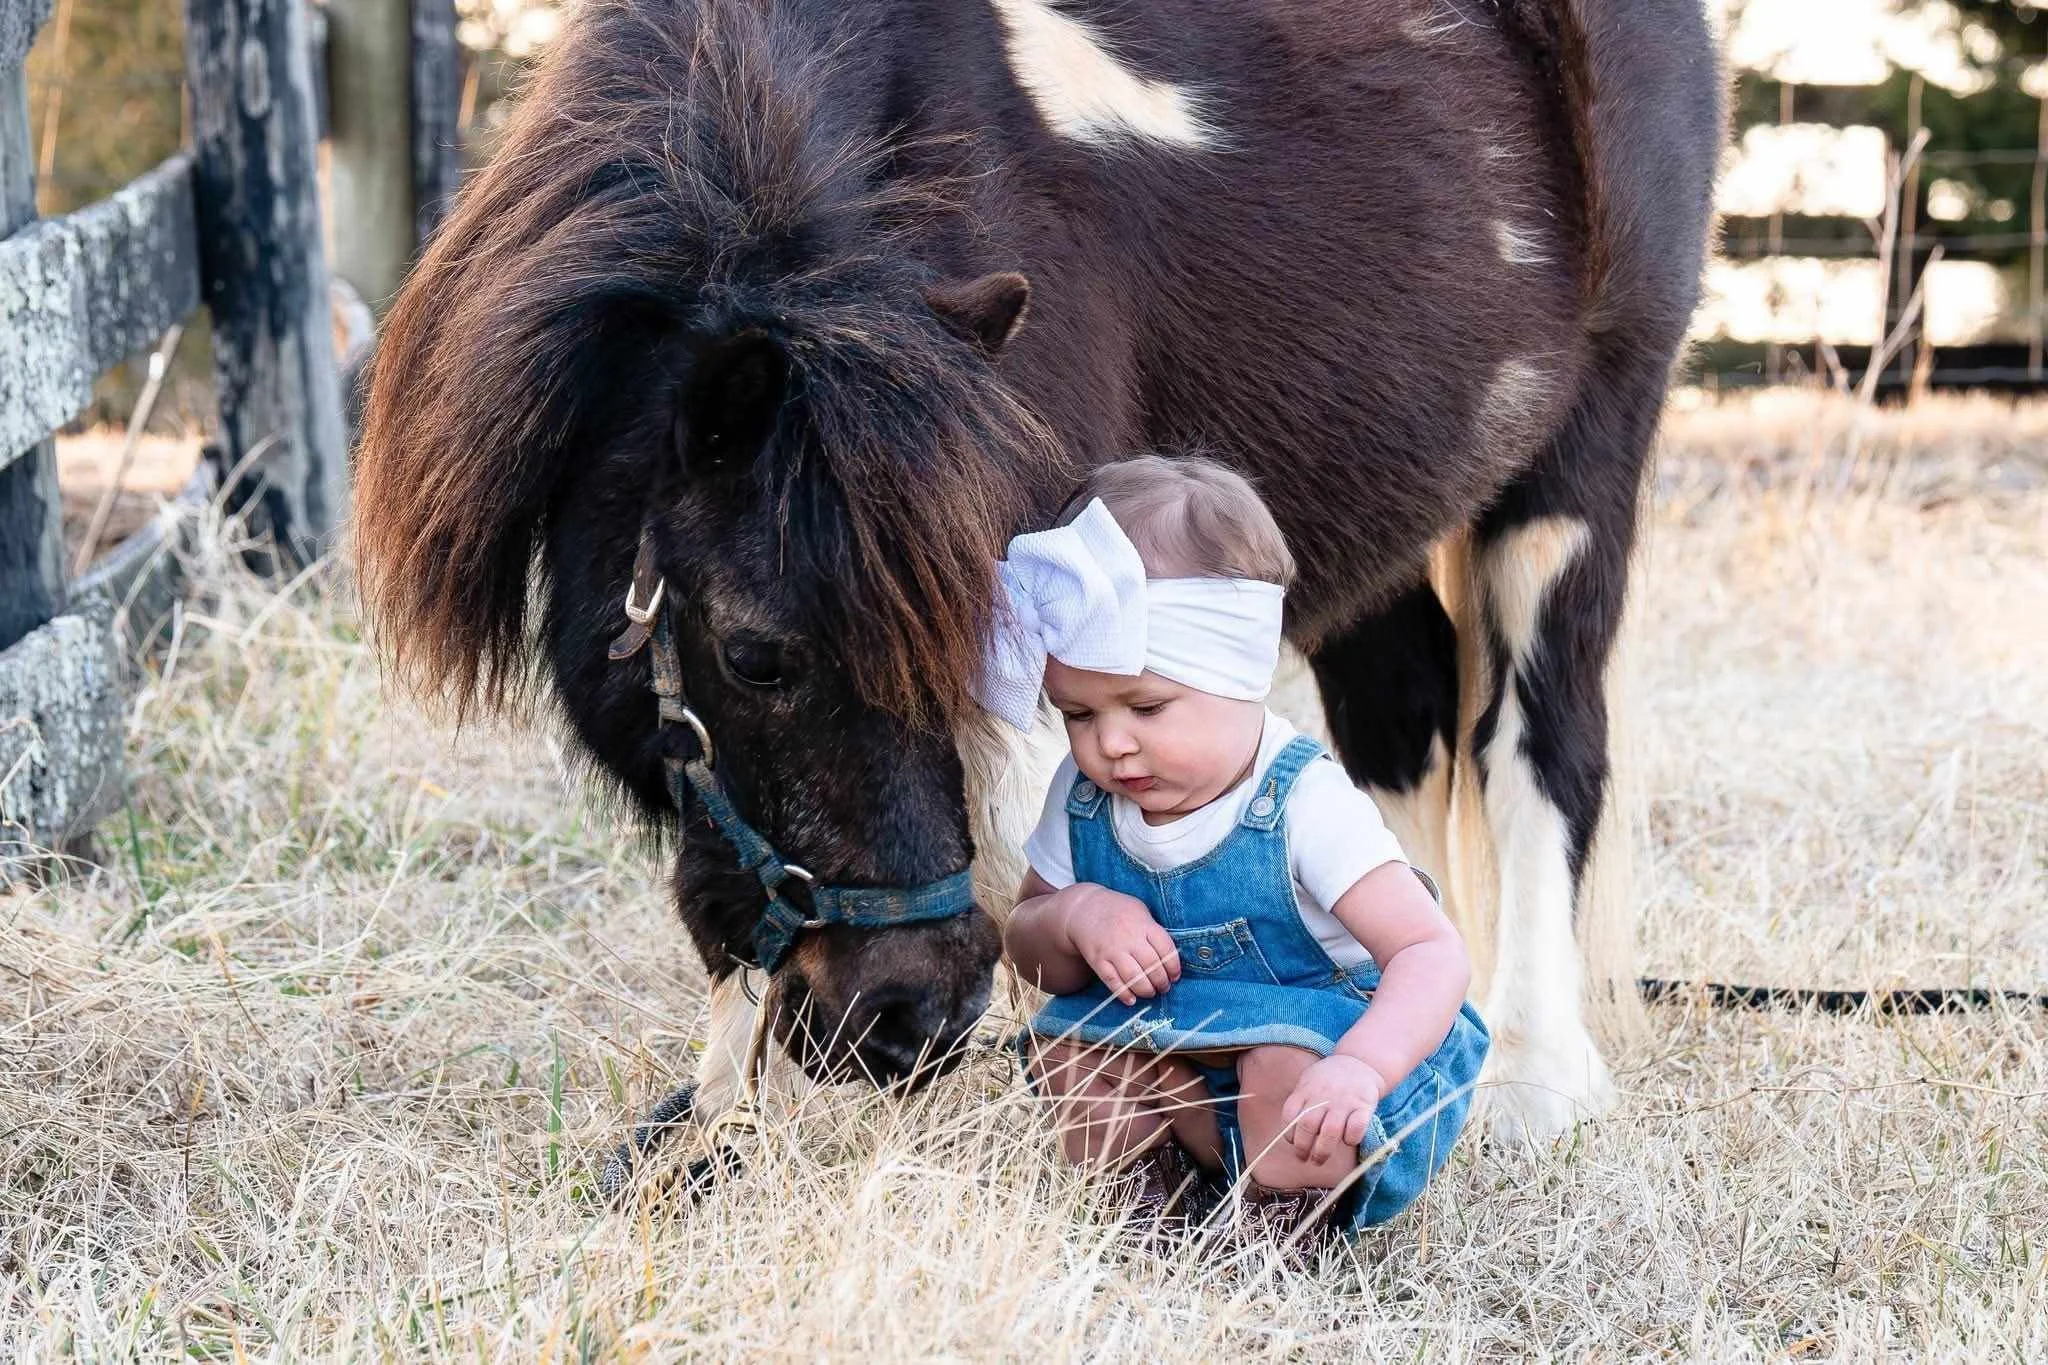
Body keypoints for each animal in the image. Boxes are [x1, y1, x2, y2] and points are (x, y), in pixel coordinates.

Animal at [353, 0, 1722, 1140]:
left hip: (1580, 459)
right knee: (1402, 741)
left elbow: (1032, 823)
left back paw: (1530, 1085)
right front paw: (710, 1129)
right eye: (755, 656)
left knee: (1535, 748)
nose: (907, 1021)